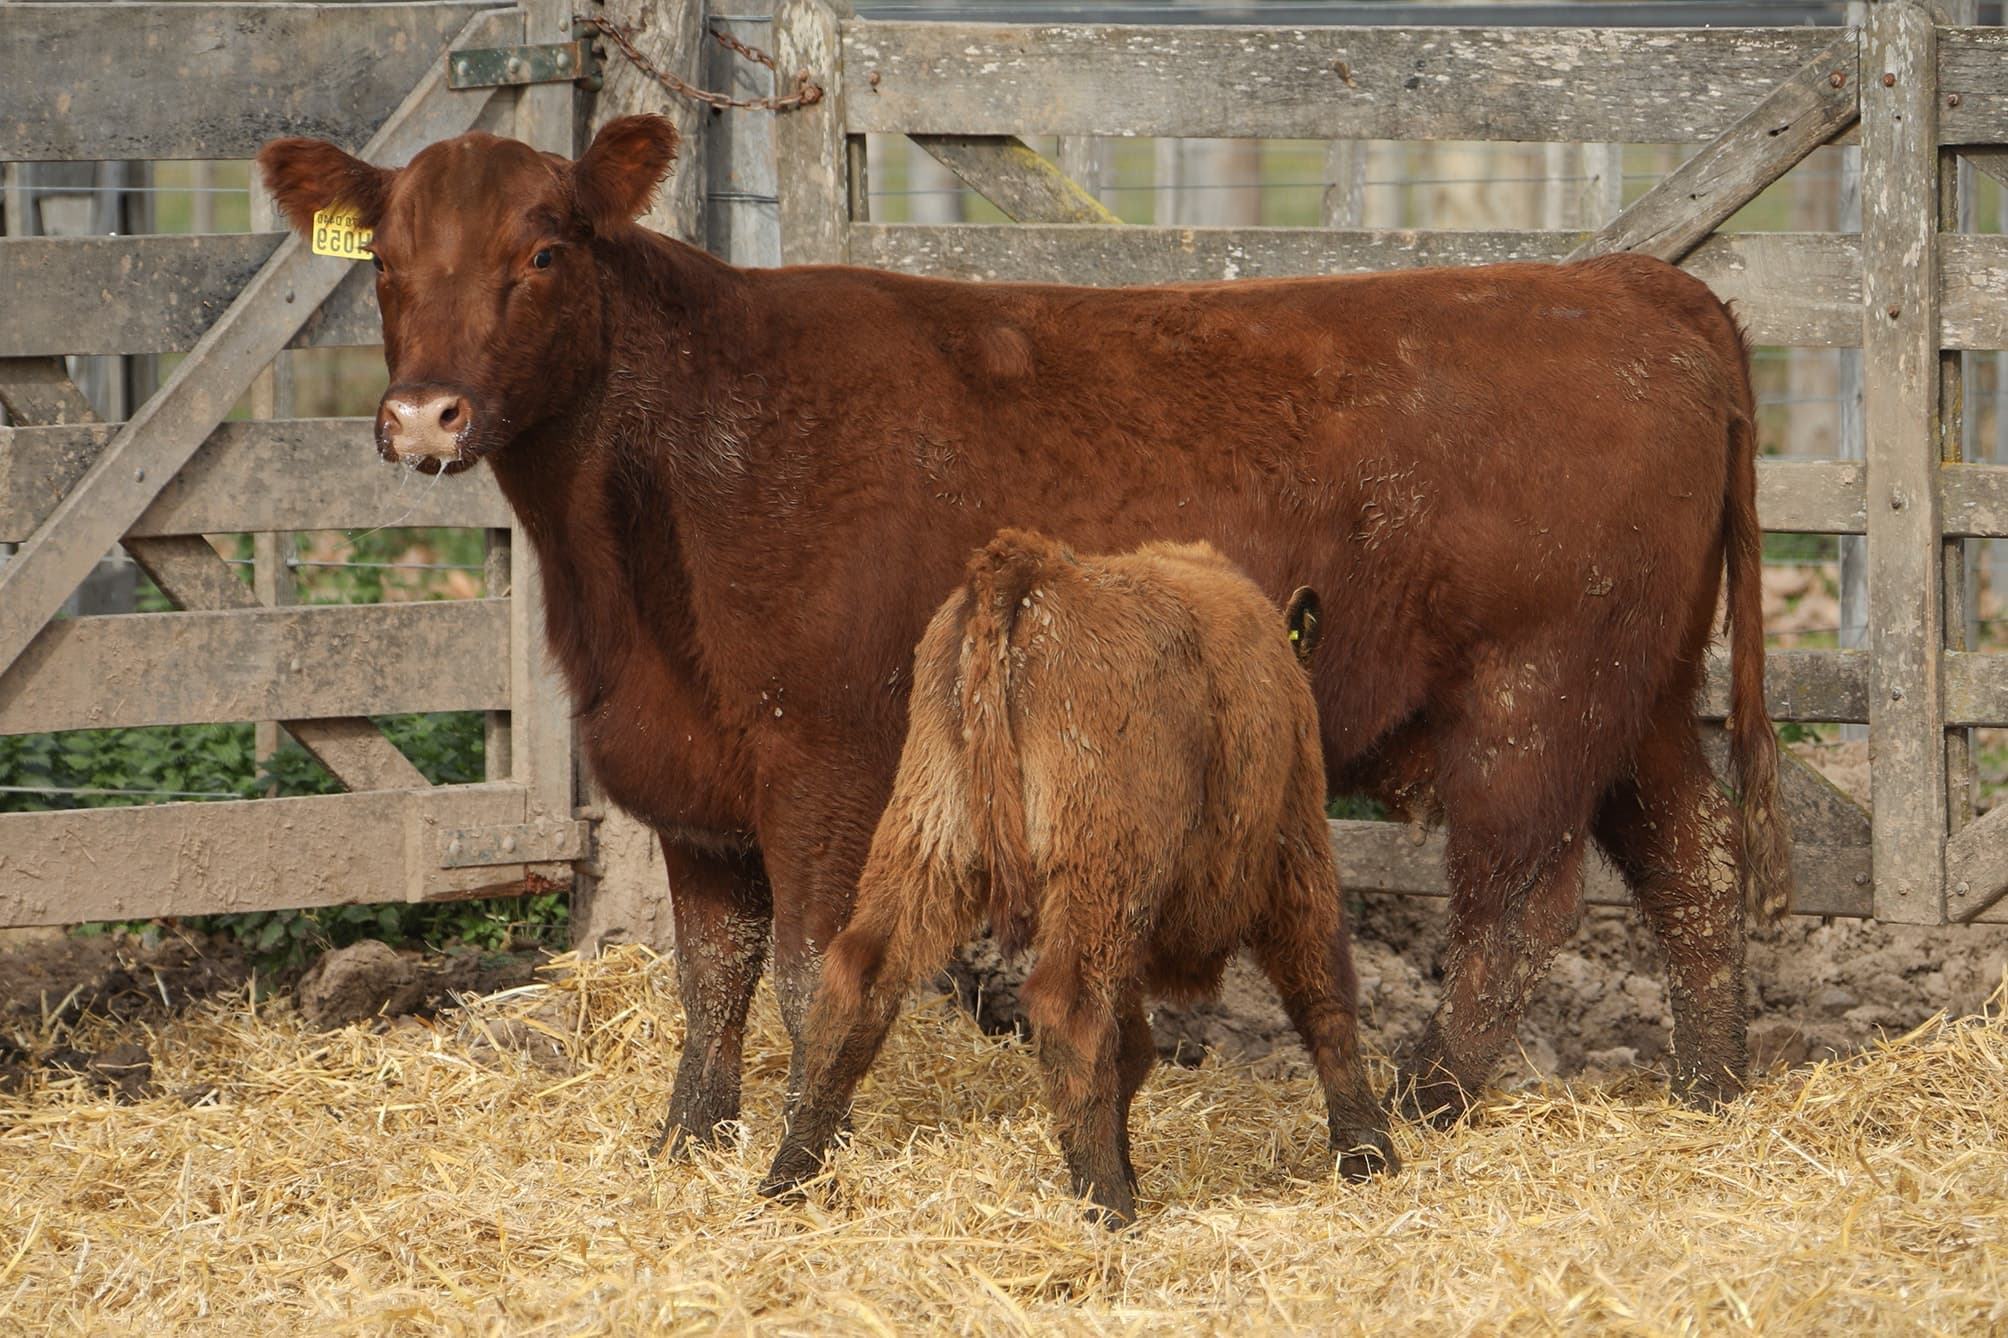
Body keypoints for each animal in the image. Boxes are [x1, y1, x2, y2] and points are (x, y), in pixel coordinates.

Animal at [255, 113, 1792, 1147]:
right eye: (385, 264)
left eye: (542, 249)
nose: (424, 414)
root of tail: (1630, 283)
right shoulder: (693, 781)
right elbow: (712, 974)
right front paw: (689, 1138)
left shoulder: (827, 762)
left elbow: (810, 969)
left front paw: (812, 1138)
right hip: (1643, 694)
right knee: (1697, 861)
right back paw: (1709, 1087)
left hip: (1536, 701)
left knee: (1516, 902)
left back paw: (1431, 1101)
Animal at [757, 532, 1390, 1223]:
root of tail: (1034, 571)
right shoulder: (1297, 847)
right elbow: (1324, 996)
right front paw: (1369, 1152)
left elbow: (1134, 1047)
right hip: (1100, 883)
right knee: (1071, 1010)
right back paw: (1111, 1208)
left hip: (929, 846)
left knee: (857, 982)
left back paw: (790, 1176)